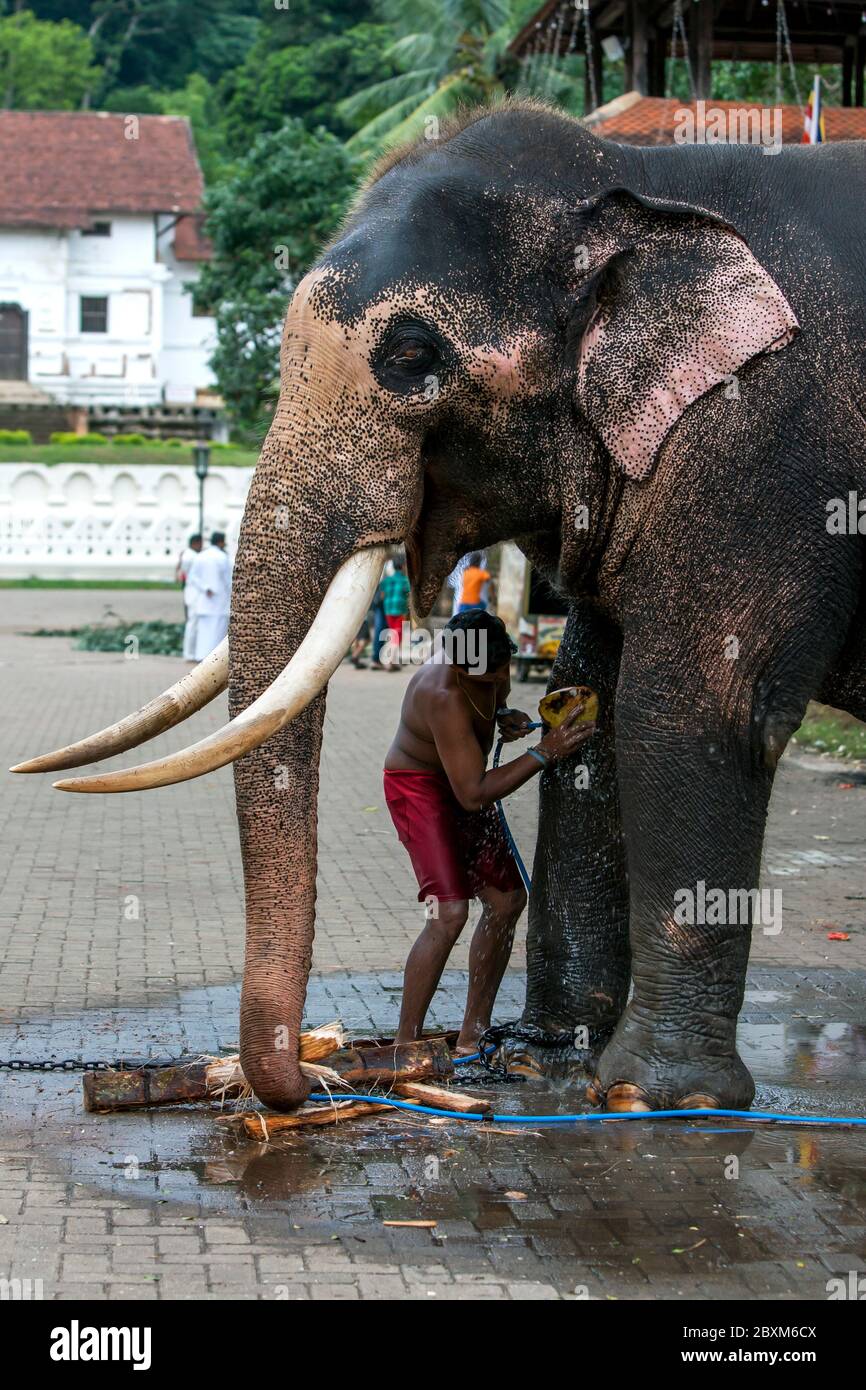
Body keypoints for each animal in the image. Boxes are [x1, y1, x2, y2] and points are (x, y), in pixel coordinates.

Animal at [16, 100, 866, 1106]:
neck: (638, 175)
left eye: (411, 354)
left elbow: (697, 715)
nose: (304, 1077)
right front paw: (550, 1055)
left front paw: (652, 1096)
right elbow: (600, 702)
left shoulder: (759, 448)